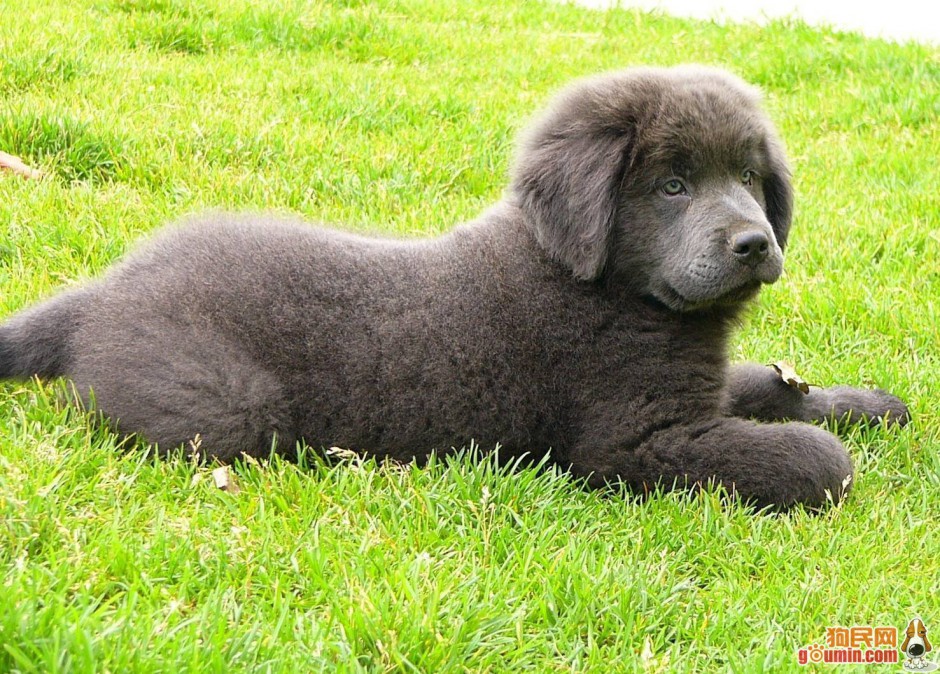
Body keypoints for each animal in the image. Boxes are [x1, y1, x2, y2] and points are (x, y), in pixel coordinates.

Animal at [1, 68, 912, 510]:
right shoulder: (633, 442)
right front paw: (829, 449)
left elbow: (772, 385)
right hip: (227, 409)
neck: (602, 287)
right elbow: (813, 459)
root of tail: (107, 287)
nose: (756, 243)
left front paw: (868, 403)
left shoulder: (699, 388)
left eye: (751, 179)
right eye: (673, 186)